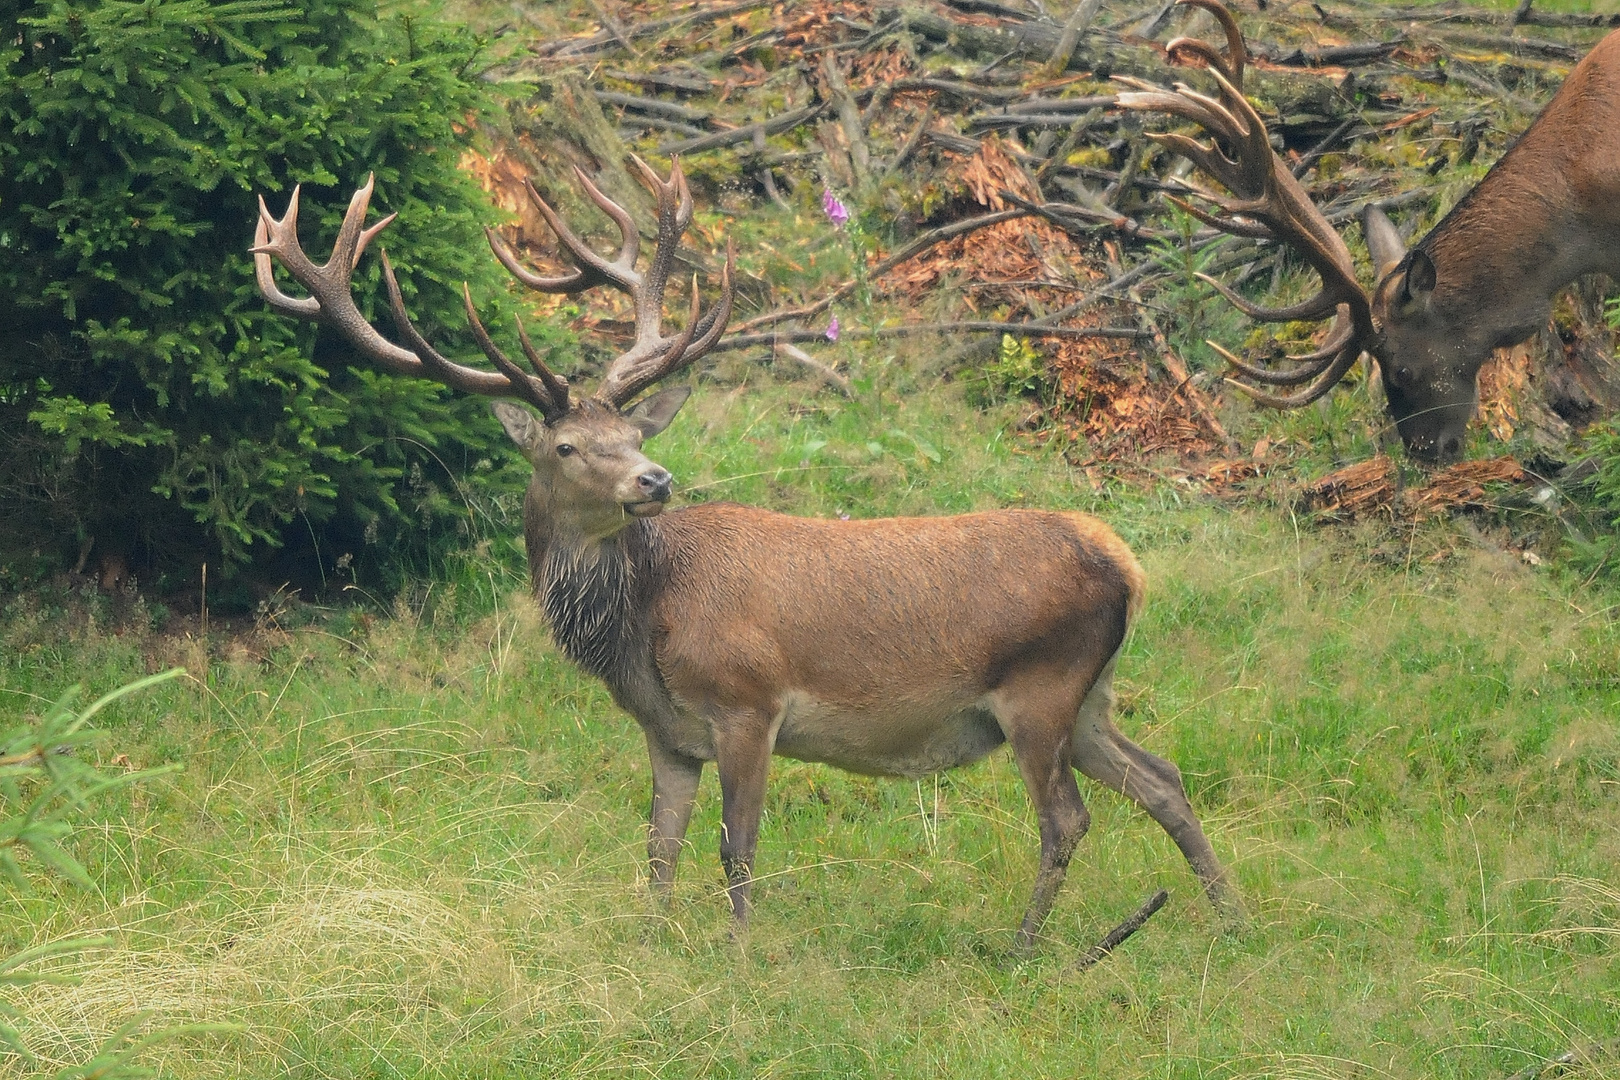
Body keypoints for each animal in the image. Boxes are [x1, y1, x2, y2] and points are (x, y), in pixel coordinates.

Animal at [252, 160, 1237, 945]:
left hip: (1039, 686)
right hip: (1089, 697)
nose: (654, 478)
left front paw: (737, 951)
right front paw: (652, 940)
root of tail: (1127, 566)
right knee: (1164, 779)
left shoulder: (749, 702)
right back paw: (1230, 915)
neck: (638, 630)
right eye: (567, 446)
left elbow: (738, 846)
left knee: (1067, 819)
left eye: (629, 431)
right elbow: (659, 845)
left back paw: (1025, 943)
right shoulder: (668, 732)